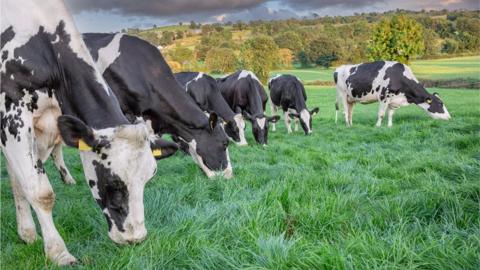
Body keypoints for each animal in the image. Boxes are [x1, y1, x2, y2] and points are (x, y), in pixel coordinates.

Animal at [0, 0, 172, 266]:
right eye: (112, 182)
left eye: (149, 178)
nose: (135, 238)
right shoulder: (11, 112)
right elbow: (40, 192)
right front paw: (59, 253)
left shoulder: (46, 123)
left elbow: (21, 181)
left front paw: (27, 233)